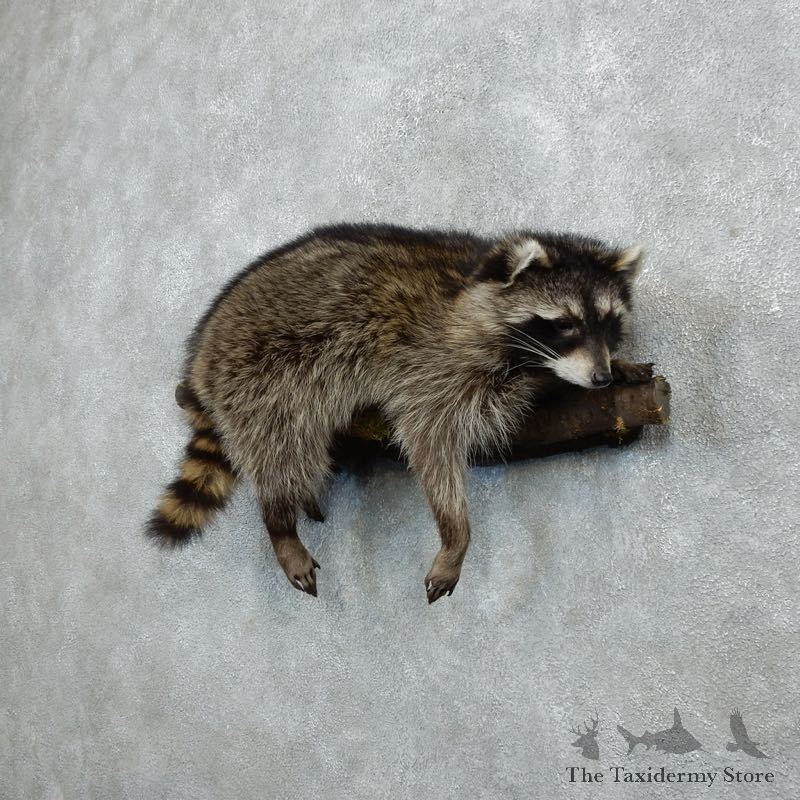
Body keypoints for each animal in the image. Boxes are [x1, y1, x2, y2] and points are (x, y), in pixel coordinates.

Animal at [146, 224, 644, 603]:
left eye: (609, 323)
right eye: (563, 325)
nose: (600, 378)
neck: (474, 291)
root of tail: (200, 358)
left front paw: (609, 367)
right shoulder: (433, 366)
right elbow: (430, 442)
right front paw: (455, 534)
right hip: (261, 374)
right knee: (281, 446)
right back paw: (279, 521)